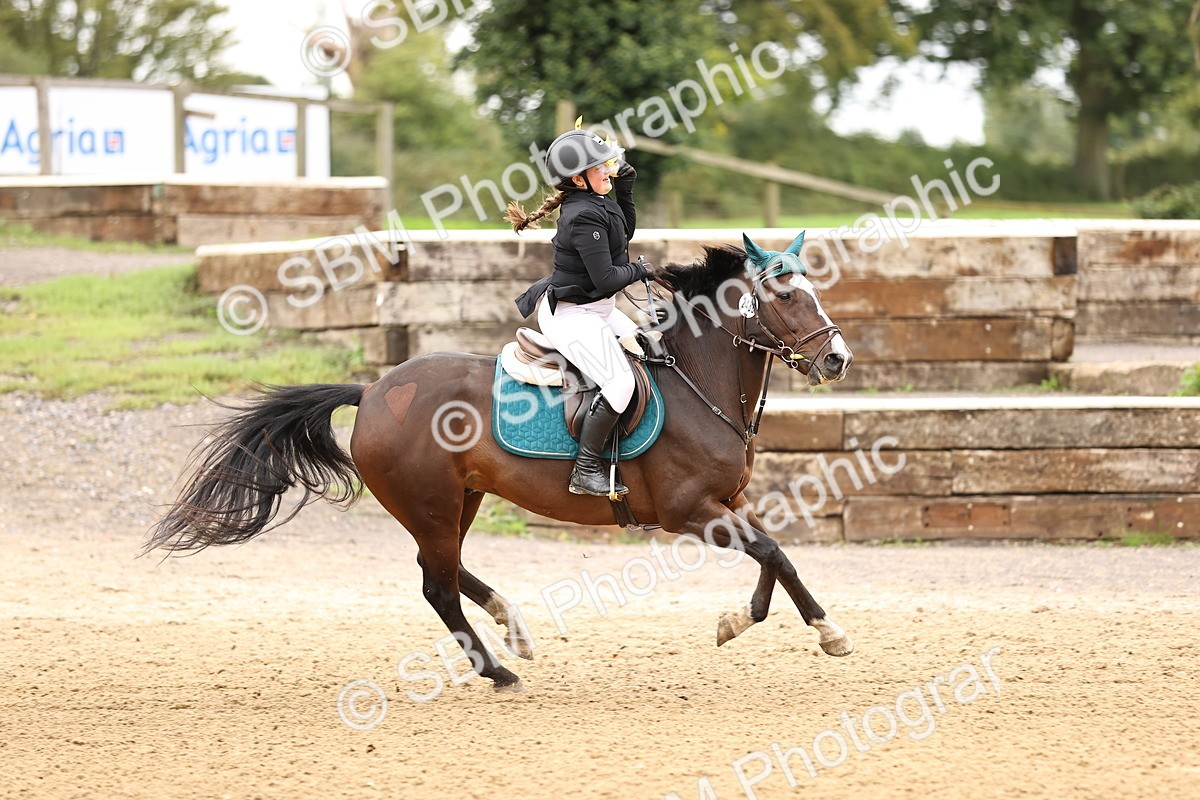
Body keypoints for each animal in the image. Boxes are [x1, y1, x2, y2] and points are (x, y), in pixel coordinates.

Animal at [145, 234, 855, 691]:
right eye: (786, 299)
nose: (837, 359)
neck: (697, 381)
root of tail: (372, 391)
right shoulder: (689, 511)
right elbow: (773, 552)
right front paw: (829, 632)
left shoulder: (728, 503)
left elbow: (772, 556)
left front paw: (740, 621)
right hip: (431, 504)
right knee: (436, 584)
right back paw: (498, 670)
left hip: (461, 498)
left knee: (445, 570)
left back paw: (511, 626)